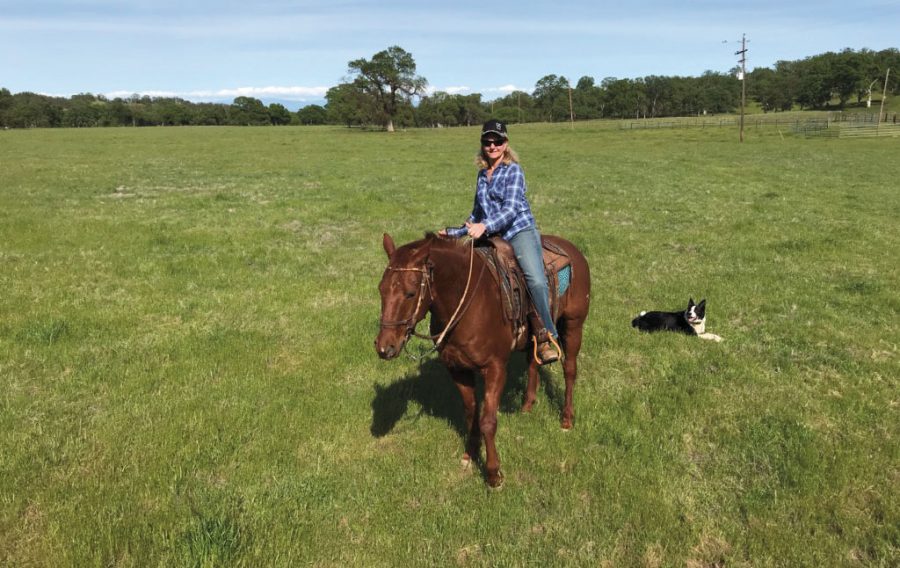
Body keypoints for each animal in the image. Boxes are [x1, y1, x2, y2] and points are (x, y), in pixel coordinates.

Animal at [374, 233, 592, 486]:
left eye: (410, 293)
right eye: (381, 289)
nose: (385, 347)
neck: (467, 302)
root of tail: (571, 248)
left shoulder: (495, 368)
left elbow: (488, 421)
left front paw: (493, 474)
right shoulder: (458, 370)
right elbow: (471, 415)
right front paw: (470, 454)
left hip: (574, 325)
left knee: (570, 370)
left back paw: (566, 419)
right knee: (532, 362)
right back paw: (527, 405)